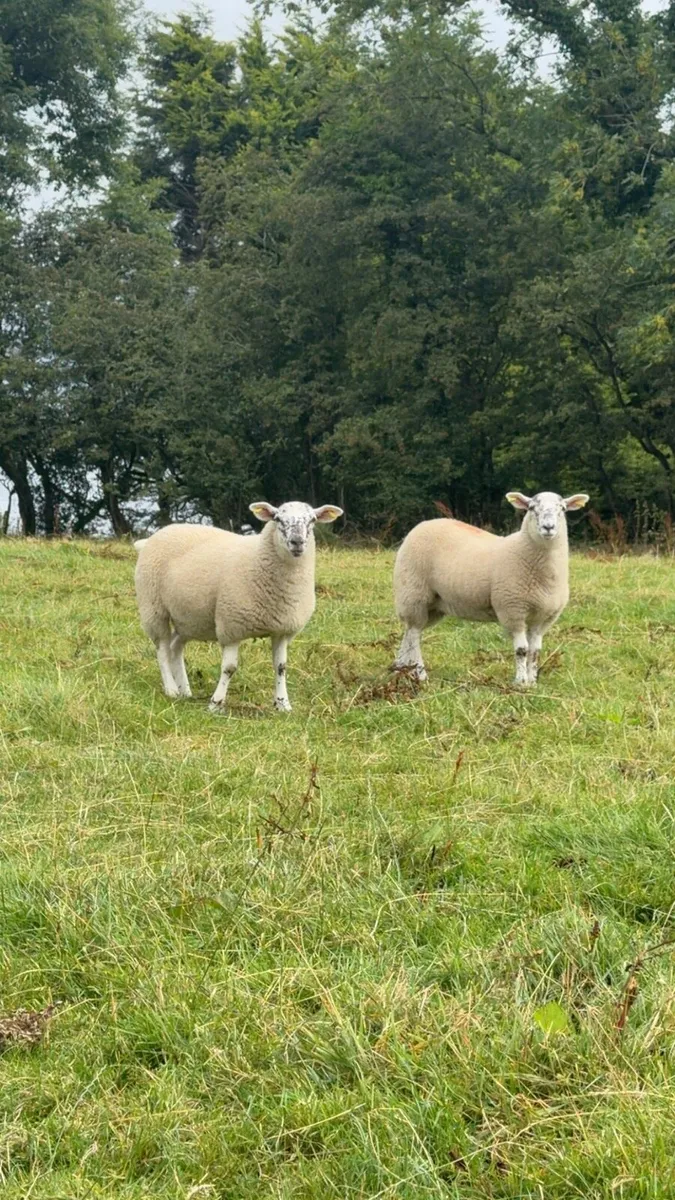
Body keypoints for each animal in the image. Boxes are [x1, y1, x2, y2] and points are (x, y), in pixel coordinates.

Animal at [134, 500, 343, 712]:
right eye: (277, 519)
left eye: (313, 520)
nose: (297, 542)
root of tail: (154, 536)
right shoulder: (232, 626)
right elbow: (229, 668)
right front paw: (216, 703)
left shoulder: (282, 629)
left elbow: (281, 667)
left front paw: (283, 704)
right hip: (153, 608)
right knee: (162, 650)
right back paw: (171, 689)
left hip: (189, 618)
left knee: (176, 646)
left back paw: (185, 690)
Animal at [393, 491, 589, 687]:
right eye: (532, 508)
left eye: (562, 509)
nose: (548, 527)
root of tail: (424, 524)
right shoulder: (512, 609)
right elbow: (522, 650)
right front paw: (520, 682)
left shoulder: (543, 617)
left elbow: (535, 651)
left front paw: (532, 682)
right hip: (413, 593)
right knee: (414, 635)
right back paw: (420, 674)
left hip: (434, 604)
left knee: (410, 632)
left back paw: (401, 669)